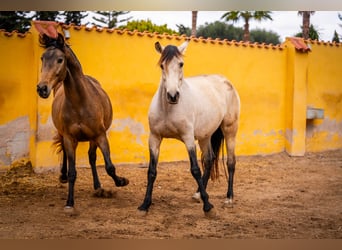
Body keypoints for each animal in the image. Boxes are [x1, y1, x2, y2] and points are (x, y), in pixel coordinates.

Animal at [36, 32, 129, 211]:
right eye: (42, 58)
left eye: (60, 59)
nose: (42, 88)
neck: (80, 102)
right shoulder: (69, 138)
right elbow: (73, 172)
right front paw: (69, 202)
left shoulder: (100, 135)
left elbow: (109, 166)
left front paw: (121, 181)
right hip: (64, 135)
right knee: (66, 155)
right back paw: (63, 176)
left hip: (93, 138)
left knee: (92, 157)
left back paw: (98, 186)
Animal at [138, 39, 240, 217]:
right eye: (162, 65)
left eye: (181, 64)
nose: (173, 95)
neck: (168, 109)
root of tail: (225, 81)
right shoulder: (154, 138)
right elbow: (151, 171)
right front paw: (145, 205)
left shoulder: (188, 138)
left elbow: (195, 169)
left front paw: (208, 207)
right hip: (206, 135)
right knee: (209, 159)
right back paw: (199, 194)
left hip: (230, 131)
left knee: (230, 162)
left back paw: (228, 198)